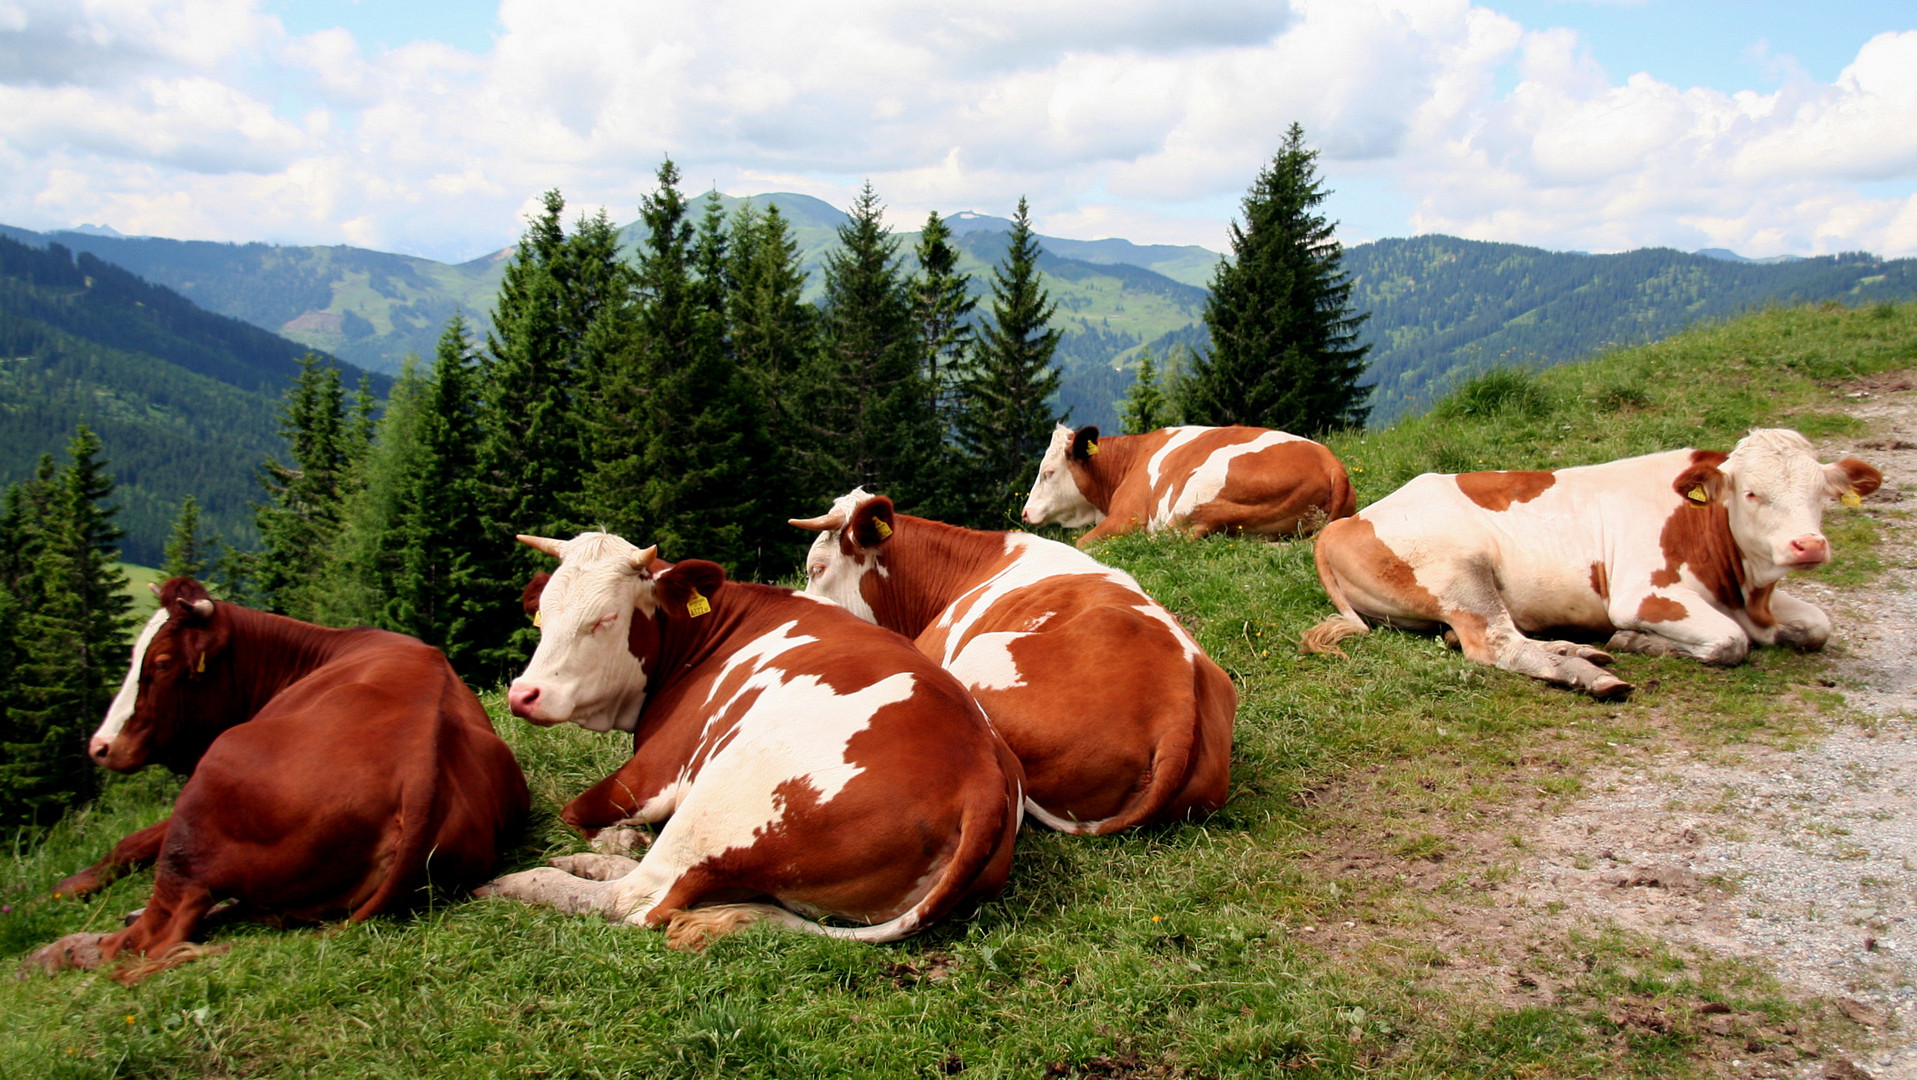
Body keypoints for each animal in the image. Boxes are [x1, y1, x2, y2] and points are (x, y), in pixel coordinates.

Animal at [24, 579, 532, 982]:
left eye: (163, 663)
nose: (101, 747)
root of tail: (421, 763)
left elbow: (130, 842)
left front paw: (58, 891)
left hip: (211, 785)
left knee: (152, 935)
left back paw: (71, 952)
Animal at [479, 537, 1027, 951]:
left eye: (606, 618)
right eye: (542, 616)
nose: (525, 694)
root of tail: (982, 773)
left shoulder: (656, 771)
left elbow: (575, 812)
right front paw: (612, 844)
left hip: (723, 797)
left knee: (640, 898)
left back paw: (523, 882)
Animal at [1019, 418, 1364, 544]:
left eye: (1048, 473)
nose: (1024, 512)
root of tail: (1331, 464)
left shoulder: (1126, 517)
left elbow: (1083, 542)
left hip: (1198, 493)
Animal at [1295, 431, 1878, 702]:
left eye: (1823, 493)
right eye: (1753, 493)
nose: (1808, 545)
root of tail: (1344, 525)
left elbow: (1818, 626)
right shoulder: (1642, 595)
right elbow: (1731, 641)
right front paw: (1639, 641)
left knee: (1485, 638)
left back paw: (1576, 650)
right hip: (1459, 571)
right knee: (1497, 644)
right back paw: (1588, 673)